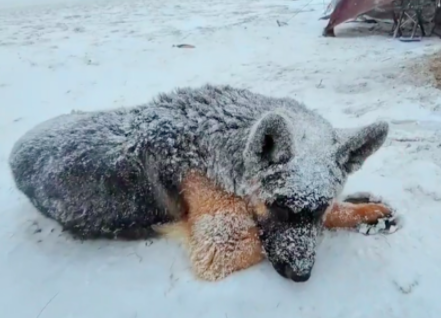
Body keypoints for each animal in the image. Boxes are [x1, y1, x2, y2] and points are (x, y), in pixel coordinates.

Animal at [9, 85, 396, 284]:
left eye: (317, 208)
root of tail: (14, 150)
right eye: (278, 207)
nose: (300, 276)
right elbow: (254, 234)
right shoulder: (220, 246)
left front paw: (366, 210)